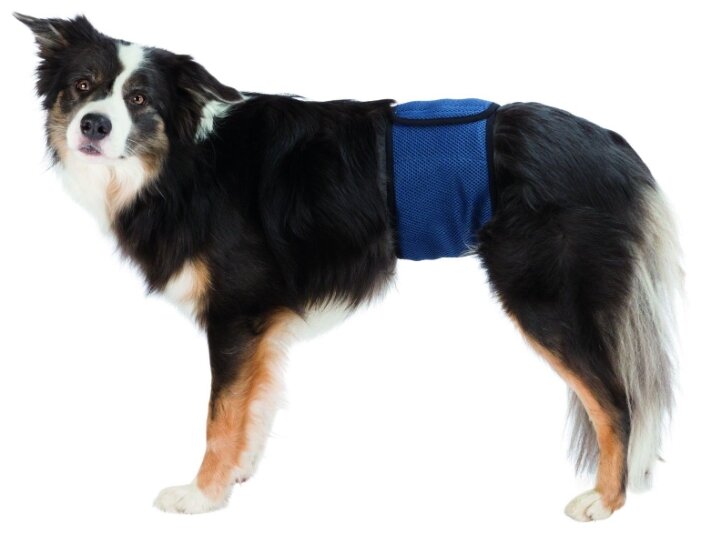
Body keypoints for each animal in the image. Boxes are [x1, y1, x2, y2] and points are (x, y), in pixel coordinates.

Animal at [16, 13, 682, 521]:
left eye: (138, 100)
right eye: (82, 85)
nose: (94, 124)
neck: (183, 161)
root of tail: (612, 143)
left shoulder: (236, 311)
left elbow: (219, 416)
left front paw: (203, 495)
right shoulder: (263, 327)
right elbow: (252, 407)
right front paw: (237, 477)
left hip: (545, 298)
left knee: (617, 404)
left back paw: (605, 502)